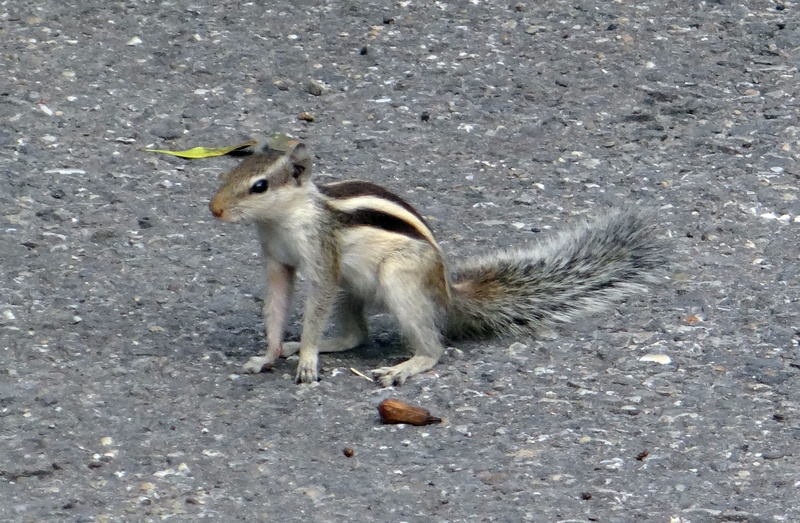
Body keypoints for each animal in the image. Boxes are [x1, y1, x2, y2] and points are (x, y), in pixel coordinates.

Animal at [208, 137, 666, 387]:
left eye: (260, 186)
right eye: (227, 175)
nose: (214, 209)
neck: (283, 220)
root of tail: (446, 291)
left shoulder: (324, 258)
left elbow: (315, 302)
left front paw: (306, 361)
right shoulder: (276, 262)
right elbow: (276, 304)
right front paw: (270, 353)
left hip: (399, 277)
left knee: (434, 348)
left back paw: (407, 365)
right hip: (353, 286)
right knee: (356, 335)